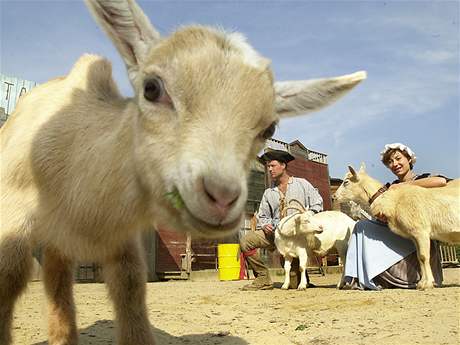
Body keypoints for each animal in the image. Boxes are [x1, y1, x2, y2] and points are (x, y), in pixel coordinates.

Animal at [0, 0, 366, 342]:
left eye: (269, 126)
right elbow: (9, 275)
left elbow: (131, 290)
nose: (221, 196)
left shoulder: (123, 240)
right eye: (150, 88)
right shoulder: (13, 220)